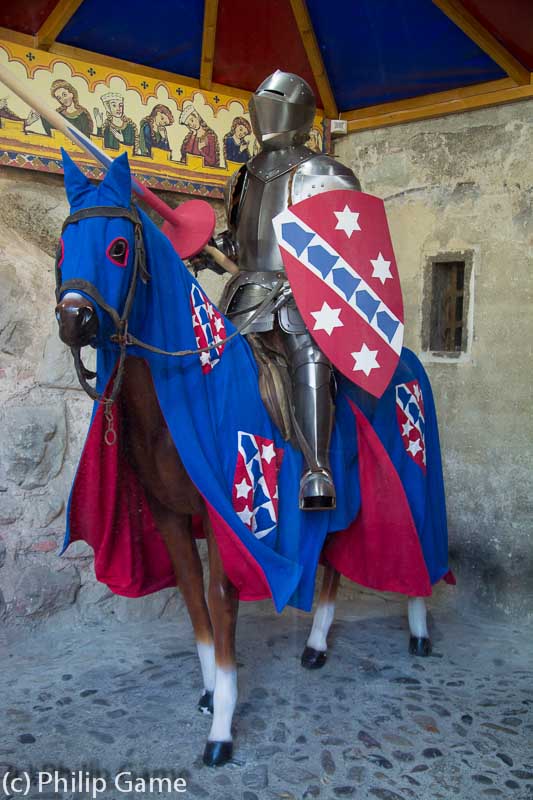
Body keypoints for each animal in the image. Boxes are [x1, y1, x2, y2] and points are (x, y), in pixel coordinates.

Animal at [55, 152, 454, 768]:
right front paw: (208, 693)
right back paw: (316, 644)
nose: (74, 320)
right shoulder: (169, 515)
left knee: (418, 542)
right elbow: (193, 600)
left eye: (119, 248)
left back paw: (417, 629)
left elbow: (222, 603)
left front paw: (222, 725)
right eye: (63, 244)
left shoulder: (232, 519)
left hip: (412, 471)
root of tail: (406, 360)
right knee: (335, 560)